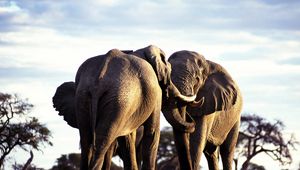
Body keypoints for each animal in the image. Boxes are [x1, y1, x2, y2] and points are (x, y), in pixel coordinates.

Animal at [52, 45, 195, 170]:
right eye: (170, 71)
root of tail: (98, 81)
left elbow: (127, 139)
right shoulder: (156, 93)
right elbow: (152, 132)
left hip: (85, 97)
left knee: (86, 139)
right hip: (119, 99)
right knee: (102, 141)